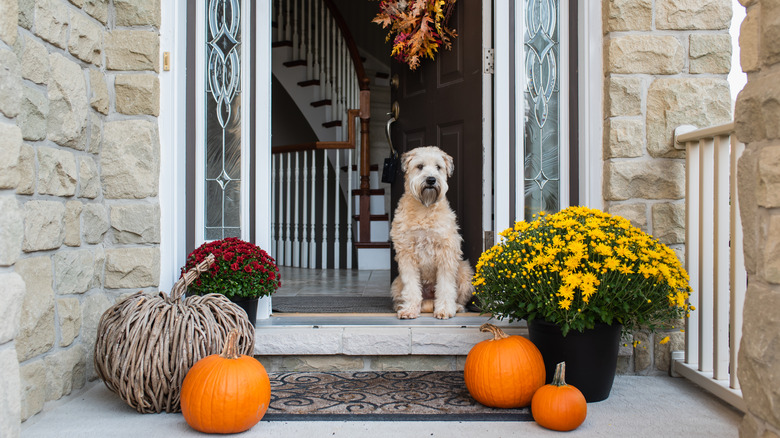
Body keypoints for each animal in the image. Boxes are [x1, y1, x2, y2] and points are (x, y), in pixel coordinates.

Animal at [390, 145, 476, 320]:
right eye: (420, 166)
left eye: (438, 167)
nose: (431, 179)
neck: (425, 209)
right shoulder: (407, 253)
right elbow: (411, 287)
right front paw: (409, 309)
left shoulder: (446, 252)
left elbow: (446, 286)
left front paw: (445, 310)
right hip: (396, 284)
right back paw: (402, 306)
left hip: (465, 272)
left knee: (459, 299)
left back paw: (455, 307)